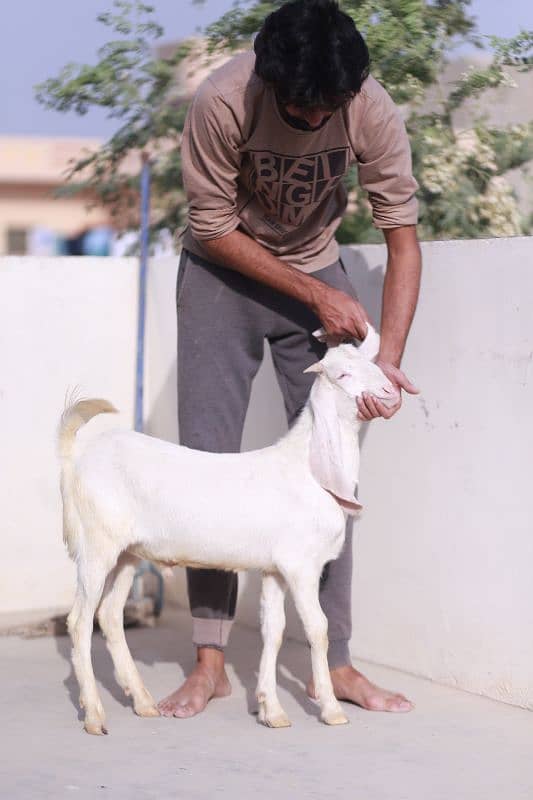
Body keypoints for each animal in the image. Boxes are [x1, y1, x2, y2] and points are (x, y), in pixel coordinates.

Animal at [60, 324, 396, 732]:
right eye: (343, 375)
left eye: (372, 364)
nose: (388, 392)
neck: (307, 468)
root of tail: (76, 458)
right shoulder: (301, 566)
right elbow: (318, 629)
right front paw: (331, 710)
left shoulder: (274, 569)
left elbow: (273, 631)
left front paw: (272, 710)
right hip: (96, 545)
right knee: (79, 621)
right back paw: (94, 714)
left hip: (127, 552)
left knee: (109, 615)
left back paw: (142, 701)